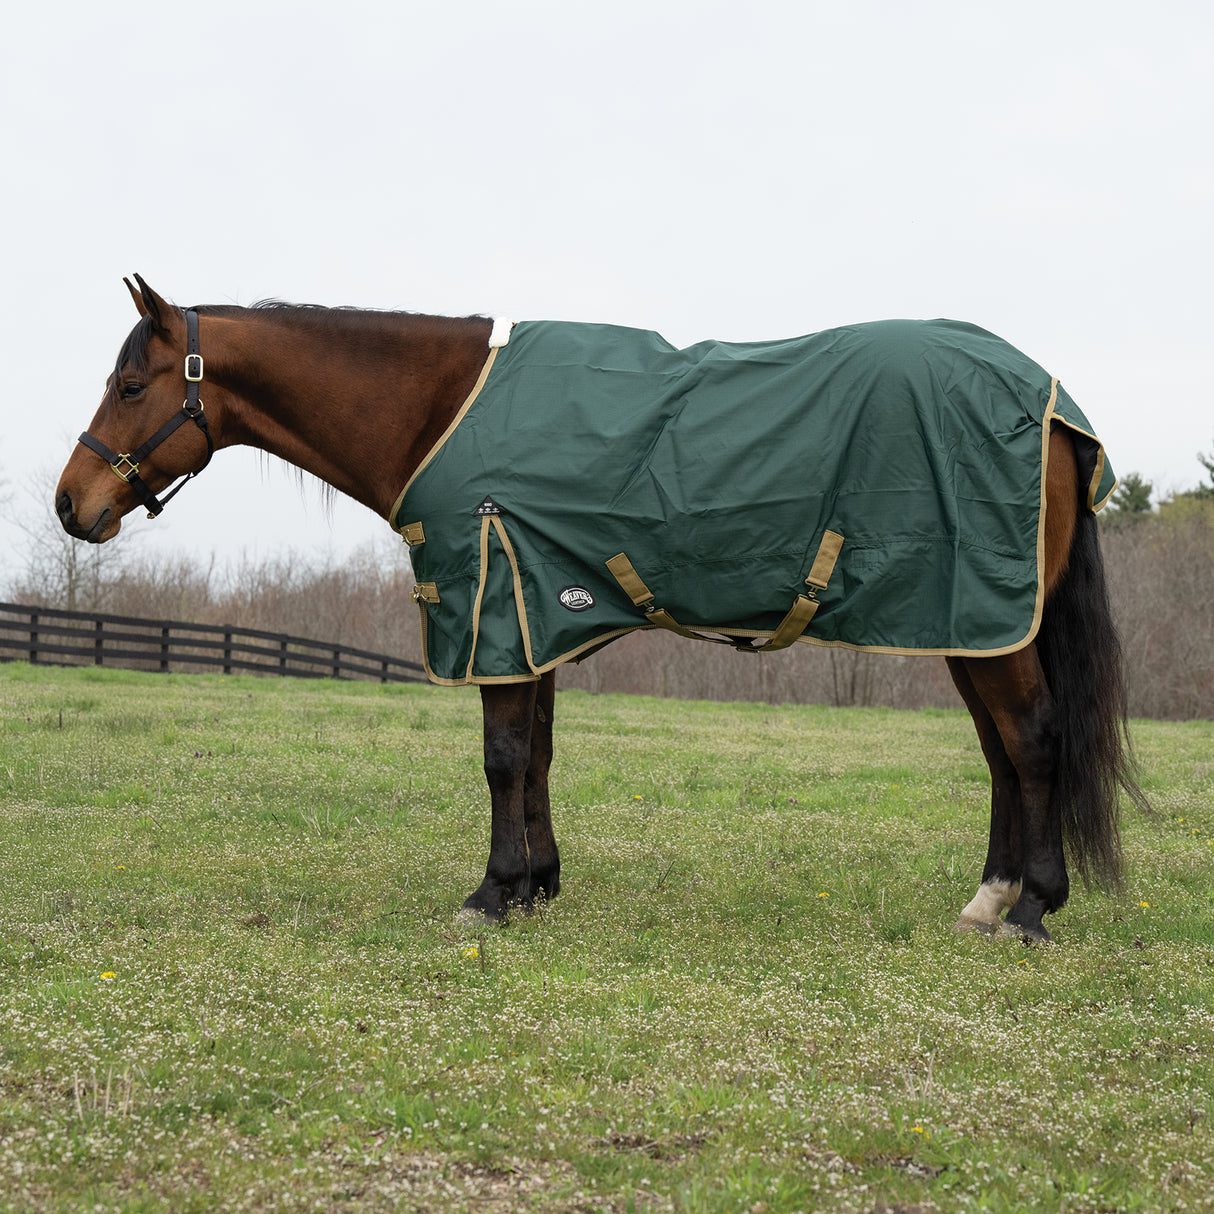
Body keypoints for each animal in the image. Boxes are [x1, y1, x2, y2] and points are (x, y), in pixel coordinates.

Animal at [55, 276, 1147, 942]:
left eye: (132, 382)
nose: (73, 504)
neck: (443, 412)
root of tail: (1054, 407)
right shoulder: (532, 613)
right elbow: (535, 756)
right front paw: (536, 884)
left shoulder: (495, 606)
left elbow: (501, 758)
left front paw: (489, 894)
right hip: (967, 623)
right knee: (1003, 751)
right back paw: (989, 897)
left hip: (985, 620)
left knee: (1033, 739)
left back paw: (1031, 909)